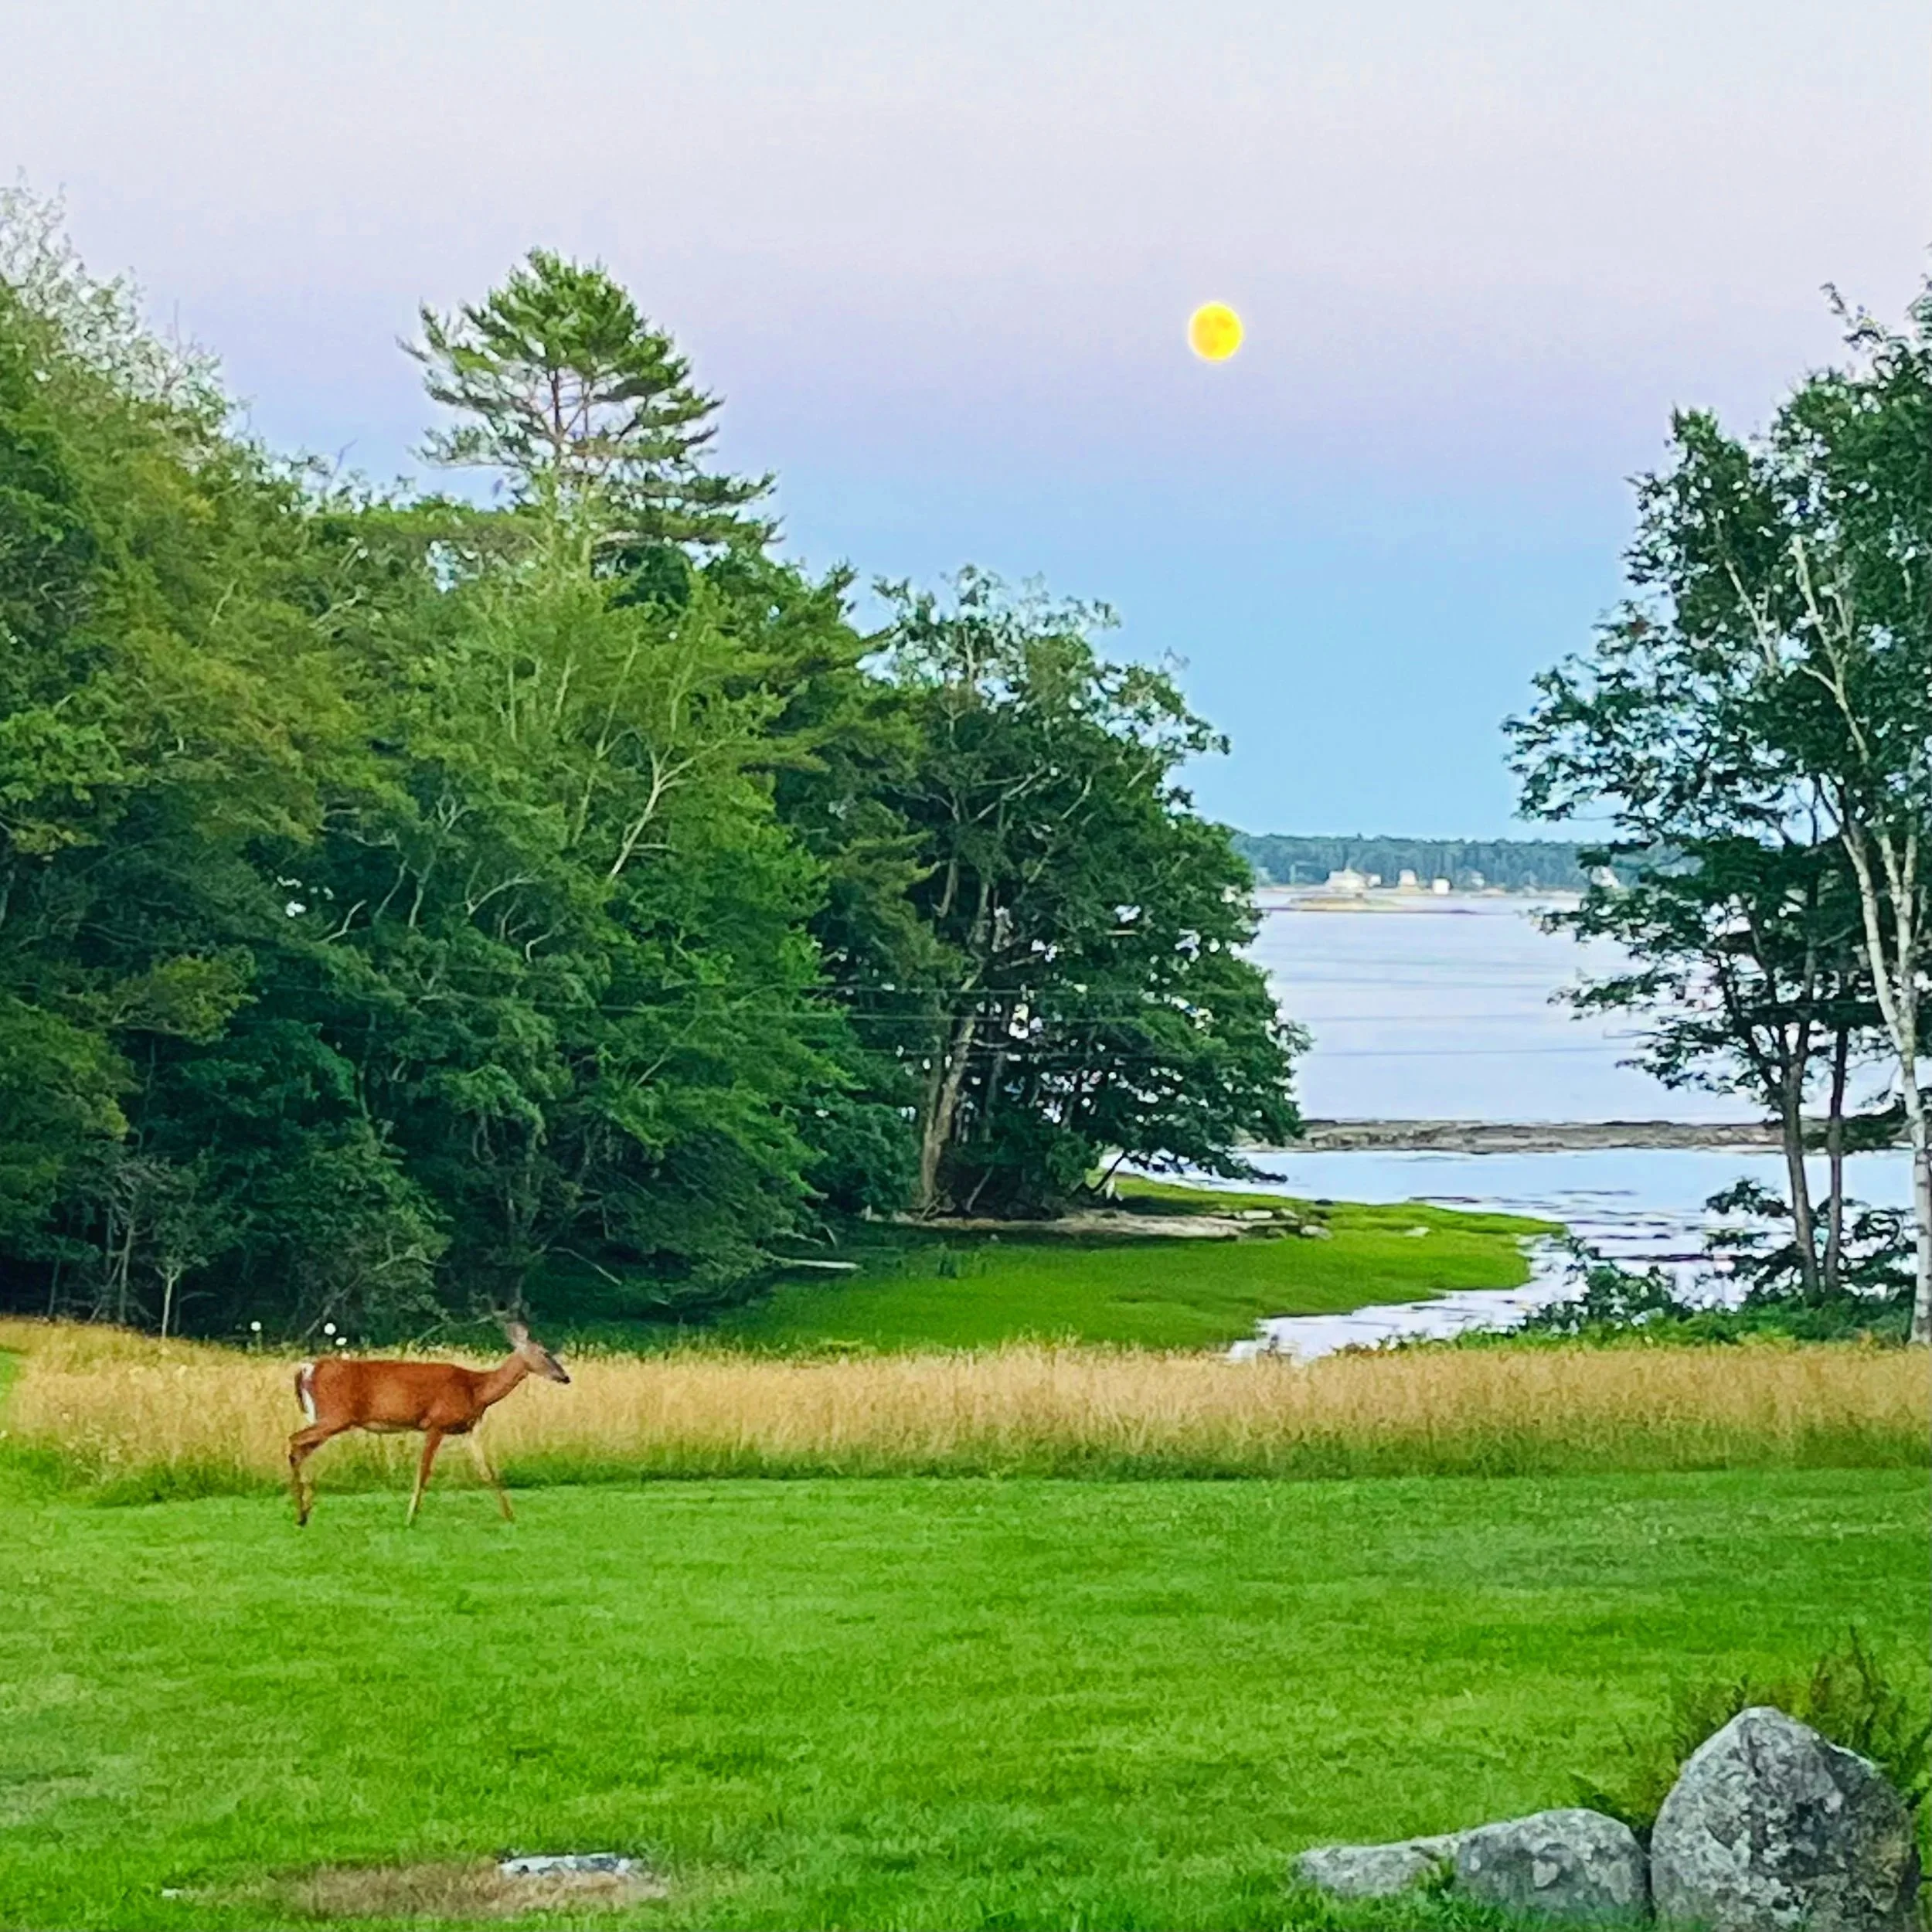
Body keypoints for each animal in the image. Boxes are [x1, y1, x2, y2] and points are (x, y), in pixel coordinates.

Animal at [288, 1320, 570, 1526]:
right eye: (546, 1353)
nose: (565, 1377)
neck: (477, 1390)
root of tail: (307, 1369)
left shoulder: (467, 1429)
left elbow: (487, 1471)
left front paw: (510, 1516)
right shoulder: (436, 1423)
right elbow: (423, 1472)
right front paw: (410, 1518)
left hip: (328, 1419)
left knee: (300, 1449)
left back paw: (304, 1513)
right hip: (334, 1416)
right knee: (294, 1441)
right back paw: (302, 1512)